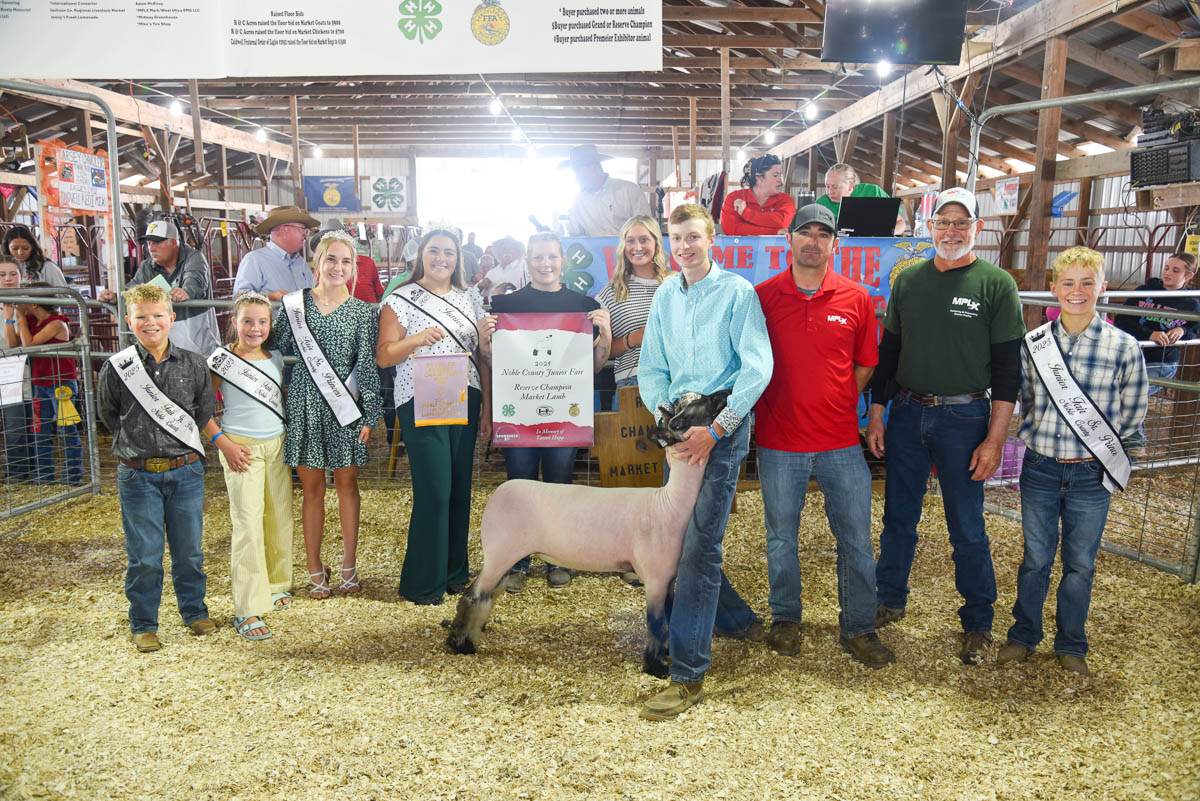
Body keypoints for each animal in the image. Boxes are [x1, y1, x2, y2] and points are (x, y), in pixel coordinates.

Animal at [447, 390, 732, 677]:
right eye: (689, 414)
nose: (725, 394)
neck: (668, 504)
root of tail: (497, 493)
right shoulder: (655, 579)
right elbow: (656, 624)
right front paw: (656, 666)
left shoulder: (670, 579)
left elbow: (670, 620)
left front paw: (667, 656)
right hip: (499, 553)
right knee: (473, 595)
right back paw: (460, 644)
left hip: (505, 557)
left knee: (487, 595)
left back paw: (475, 632)